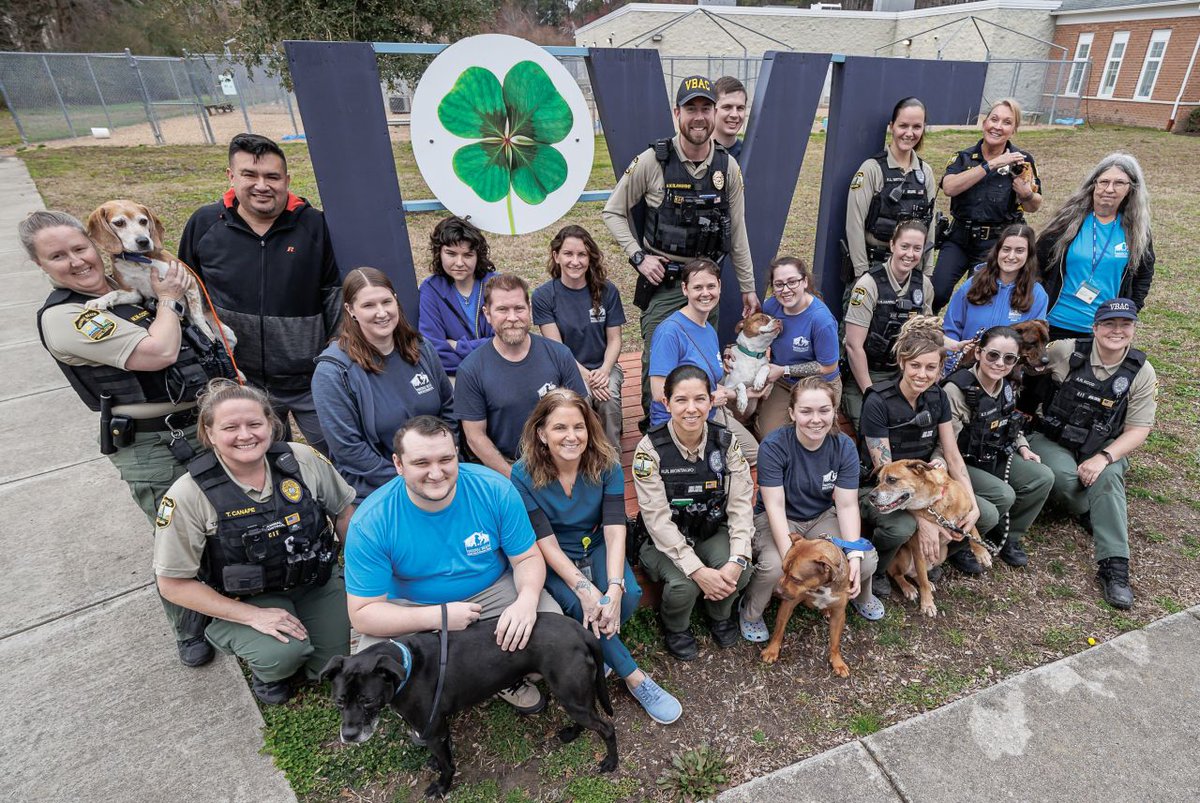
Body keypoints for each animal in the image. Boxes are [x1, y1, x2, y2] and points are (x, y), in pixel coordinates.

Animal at [84, 199, 234, 345]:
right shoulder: (135, 294)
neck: (138, 261)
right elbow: (114, 293)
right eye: (119, 223)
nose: (143, 241)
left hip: (229, 334)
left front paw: (206, 332)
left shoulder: (190, 282)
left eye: (143, 221)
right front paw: (99, 301)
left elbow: (197, 314)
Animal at [321, 614, 619, 796]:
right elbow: (441, 754)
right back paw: (572, 733)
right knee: (589, 718)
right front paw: (434, 761)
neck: (405, 666)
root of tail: (579, 630)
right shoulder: (435, 728)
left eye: (367, 700)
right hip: (573, 695)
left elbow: (447, 765)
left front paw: (442, 787)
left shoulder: (434, 728)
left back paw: (611, 762)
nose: (348, 736)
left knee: (606, 728)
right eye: (339, 701)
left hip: (571, 695)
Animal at [758, 535, 854, 672]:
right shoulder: (788, 604)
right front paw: (772, 650)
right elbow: (779, 629)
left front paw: (838, 662)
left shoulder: (839, 613)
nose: (777, 590)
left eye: (796, 579)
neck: (821, 586)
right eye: (783, 569)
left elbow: (835, 641)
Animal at [868, 456, 988, 619]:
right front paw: (927, 604)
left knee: (917, 575)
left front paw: (982, 552)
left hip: (941, 554)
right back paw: (908, 588)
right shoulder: (919, 549)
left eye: (892, 479)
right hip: (906, 556)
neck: (934, 504)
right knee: (899, 574)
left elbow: (972, 529)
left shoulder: (967, 512)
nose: (870, 497)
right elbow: (923, 581)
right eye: (877, 481)